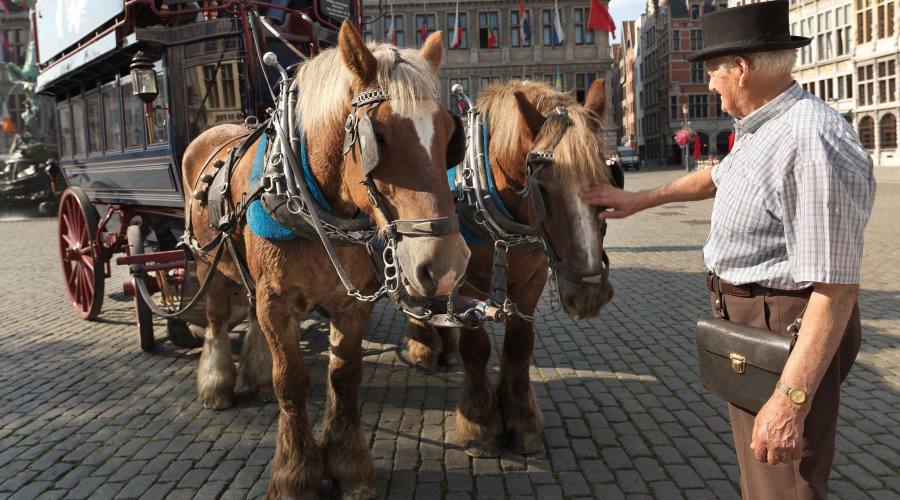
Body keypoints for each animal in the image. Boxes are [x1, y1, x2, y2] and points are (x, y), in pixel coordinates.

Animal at [179, 23, 468, 500]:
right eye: (377, 136)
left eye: (449, 136)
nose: (444, 266)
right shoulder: (278, 303)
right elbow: (292, 381)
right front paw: (296, 474)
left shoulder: (349, 305)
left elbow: (344, 377)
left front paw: (349, 467)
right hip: (208, 262)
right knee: (218, 318)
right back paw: (217, 384)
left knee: (251, 315)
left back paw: (256, 377)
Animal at [404, 79, 616, 458]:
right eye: (541, 185)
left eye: (609, 176)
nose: (588, 294)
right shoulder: (465, 282)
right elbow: (477, 349)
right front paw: (480, 425)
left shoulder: (532, 279)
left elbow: (520, 345)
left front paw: (522, 422)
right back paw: (424, 350)